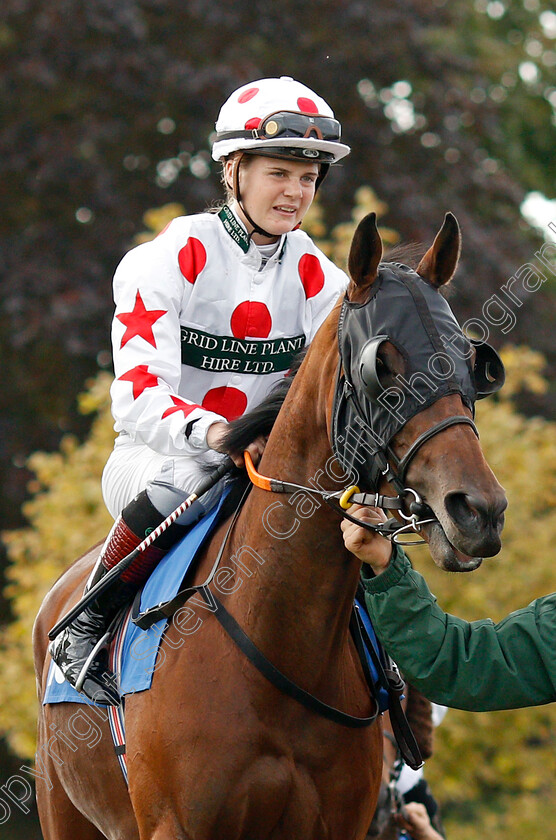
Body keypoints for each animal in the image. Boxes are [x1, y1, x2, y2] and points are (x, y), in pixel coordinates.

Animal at [32, 212, 506, 840]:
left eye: (473, 362)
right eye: (381, 365)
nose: (479, 510)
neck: (279, 636)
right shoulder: (177, 825)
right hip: (63, 810)